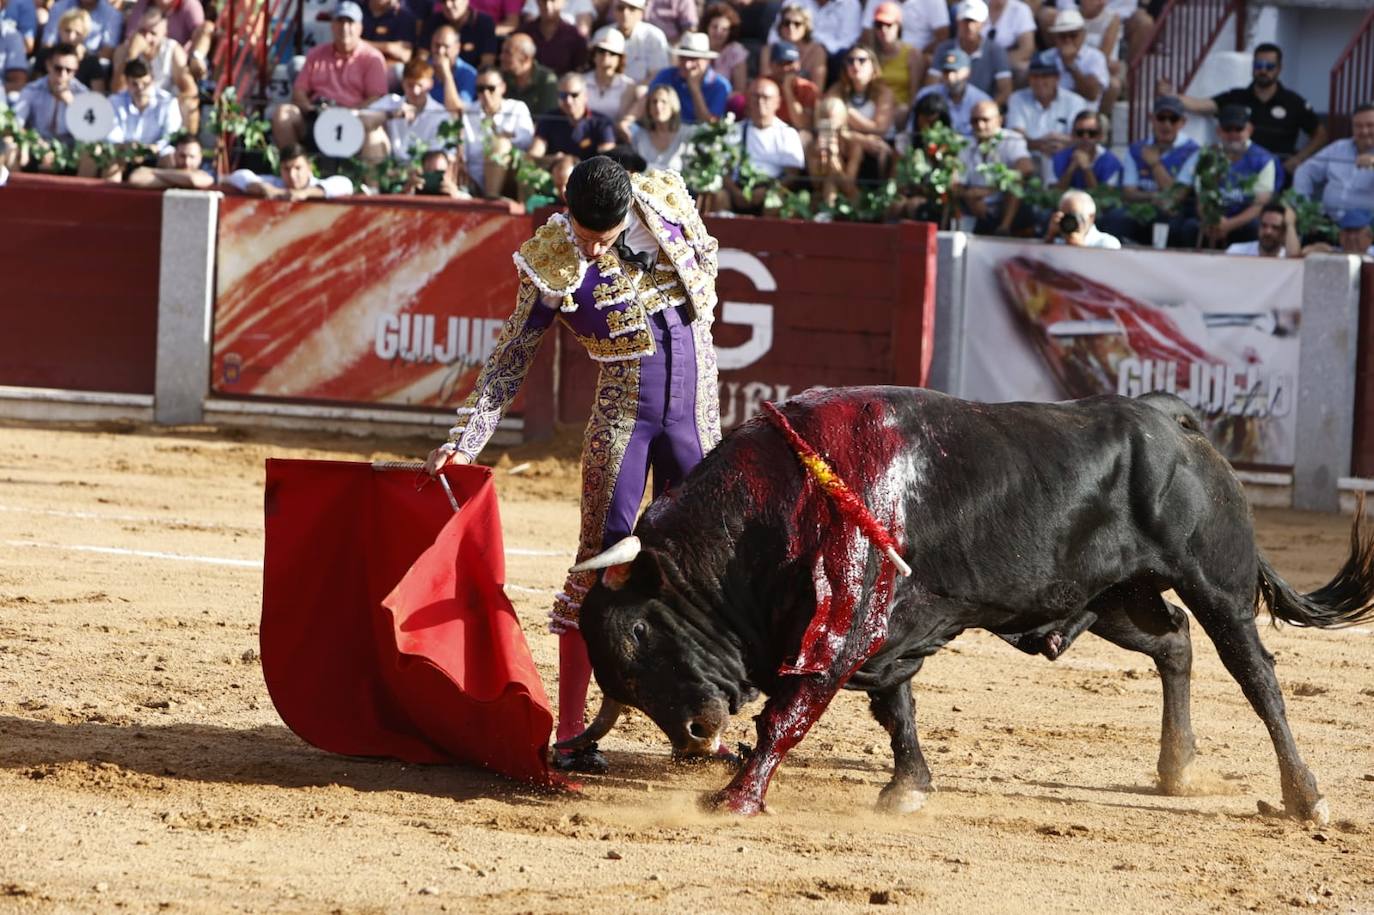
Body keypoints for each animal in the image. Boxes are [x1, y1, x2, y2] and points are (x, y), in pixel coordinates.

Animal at [557, 387, 1374, 818]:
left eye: (638, 634)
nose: (696, 735)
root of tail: (1171, 416)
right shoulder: (888, 634)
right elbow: (895, 709)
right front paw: (908, 788)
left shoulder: (843, 631)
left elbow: (787, 715)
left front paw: (735, 799)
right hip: (1112, 596)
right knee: (1173, 639)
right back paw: (1176, 766)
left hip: (1216, 583)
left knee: (1257, 673)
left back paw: (1305, 796)